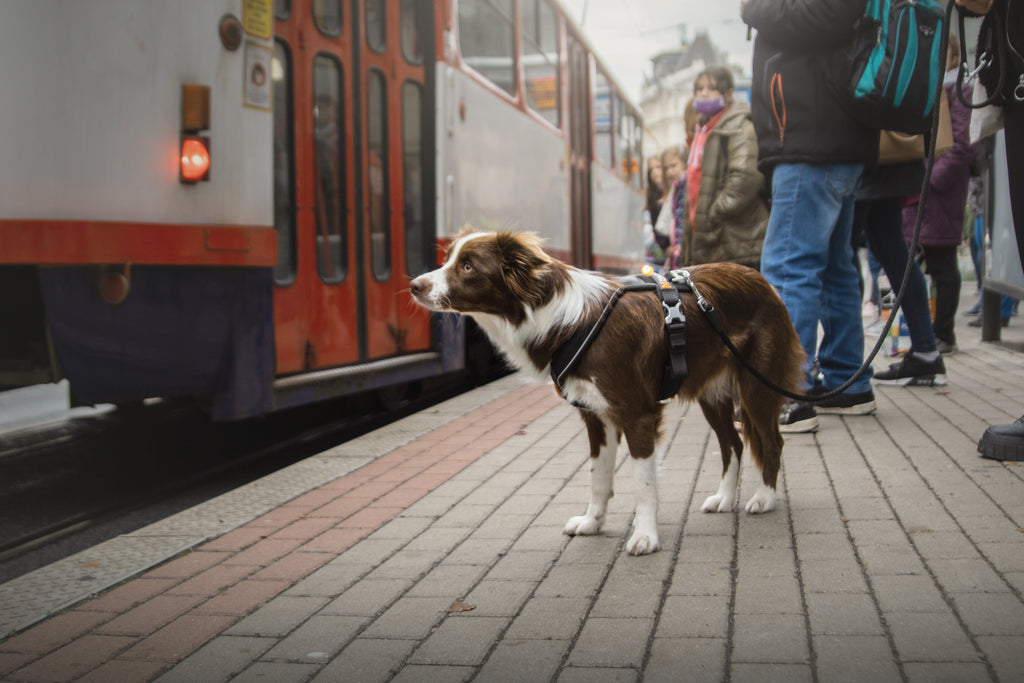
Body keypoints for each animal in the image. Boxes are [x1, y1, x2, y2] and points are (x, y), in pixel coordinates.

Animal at [409, 229, 806, 557]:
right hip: (712, 394)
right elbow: (598, 477)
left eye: (468, 266)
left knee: (771, 442)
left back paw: (764, 497)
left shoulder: (637, 413)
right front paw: (592, 523)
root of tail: (761, 279)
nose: (414, 285)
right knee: (733, 444)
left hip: (757, 385)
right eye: (449, 259)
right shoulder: (596, 416)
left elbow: (643, 483)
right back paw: (724, 498)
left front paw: (645, 536)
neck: (564, 321)